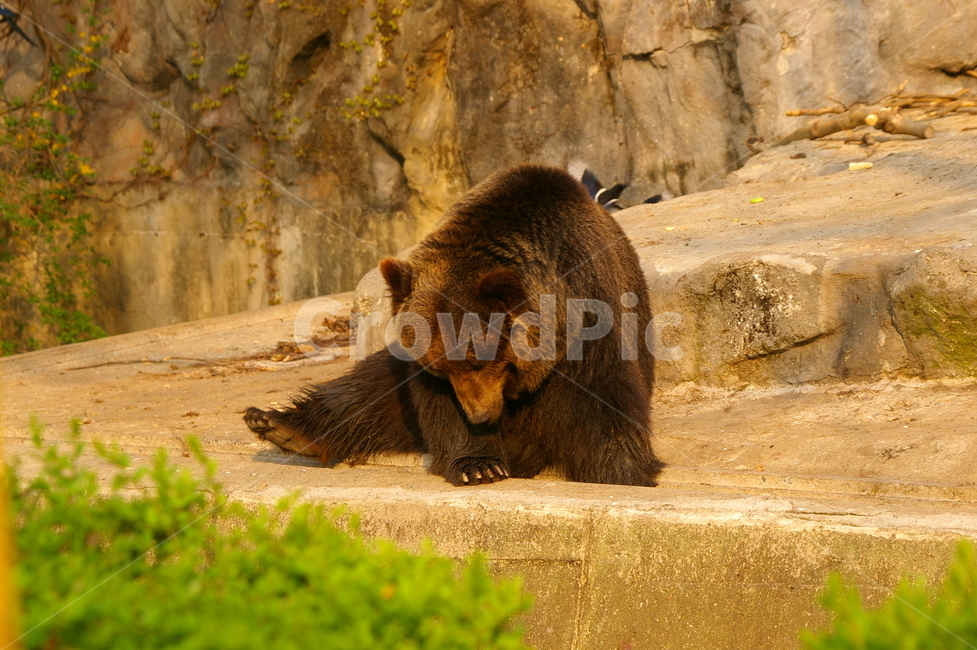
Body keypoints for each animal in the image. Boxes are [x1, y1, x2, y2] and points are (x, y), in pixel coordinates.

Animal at [244, 164, 663, 487]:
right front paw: (478, 465)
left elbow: (605, 402)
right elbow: (433, 406)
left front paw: (621, 472)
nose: (481, 416)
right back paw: (278, 425)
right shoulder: (422, 365)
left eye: (480, 360)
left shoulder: (589, 317)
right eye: (442, 368)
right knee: (368, 389)